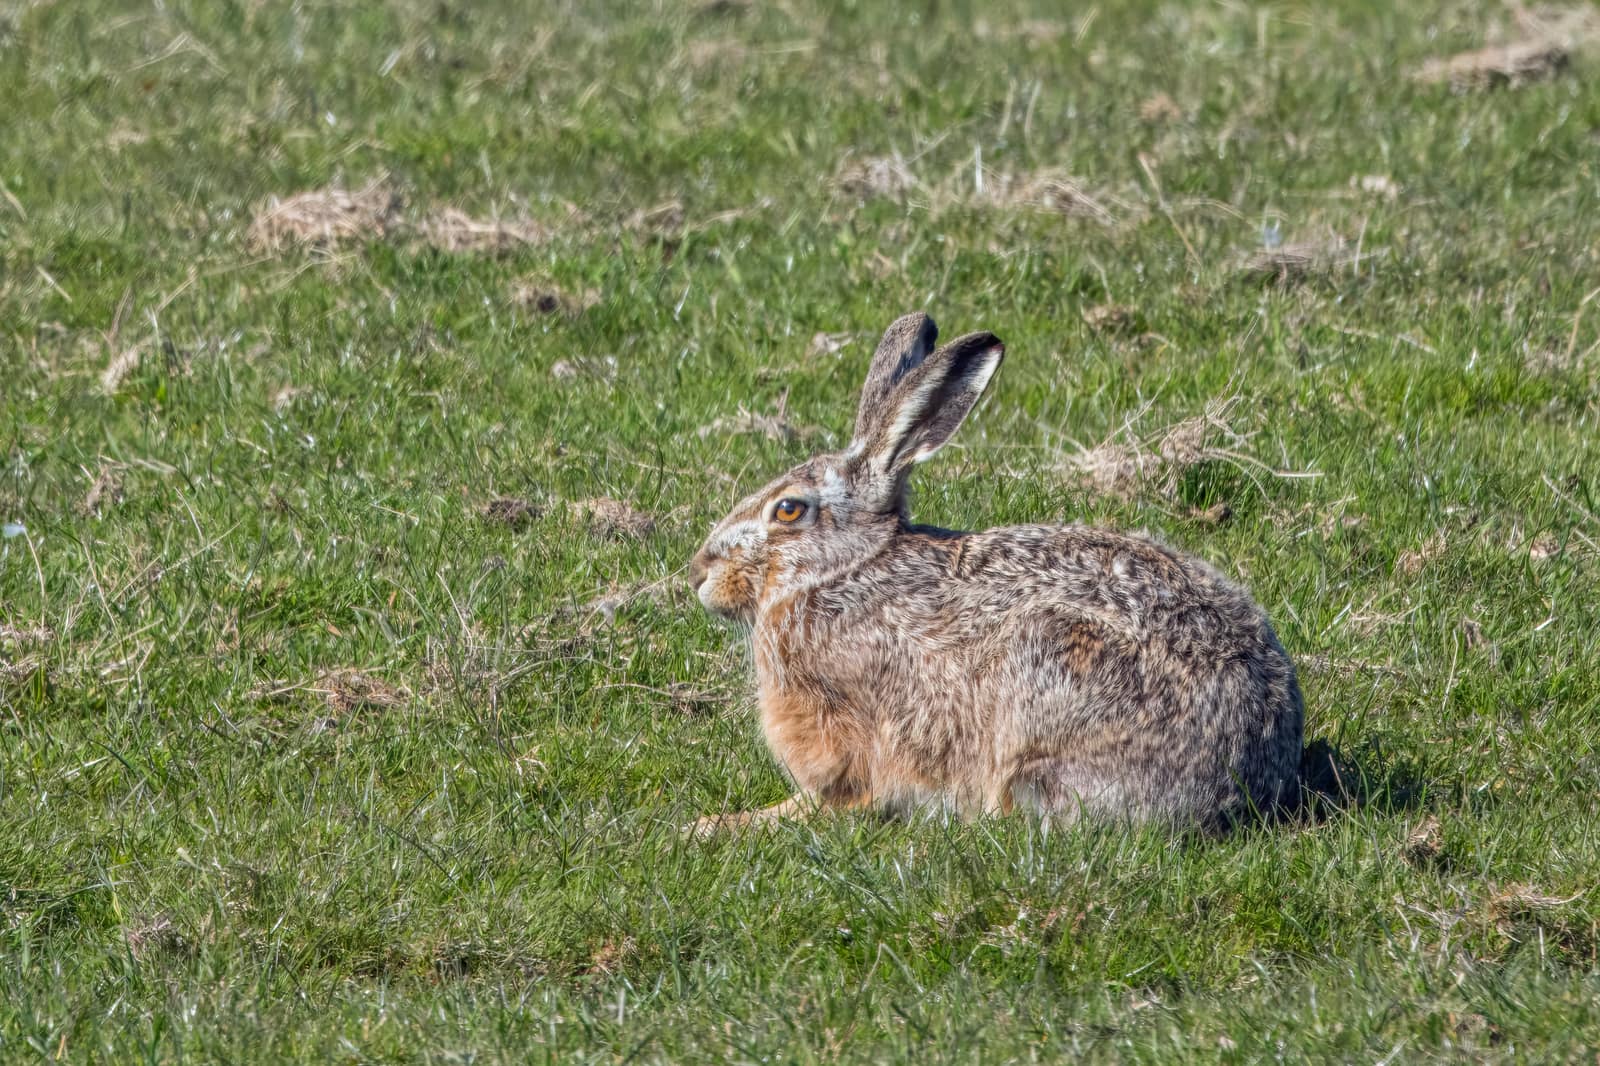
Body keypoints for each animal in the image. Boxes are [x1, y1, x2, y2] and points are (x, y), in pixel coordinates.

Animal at [686, 312, 1302, 838]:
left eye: (789, 510)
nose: (698, 573)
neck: (844, 569)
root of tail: (1246, 777)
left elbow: (838, 799)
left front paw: (723, 824)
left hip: (1050, 673)